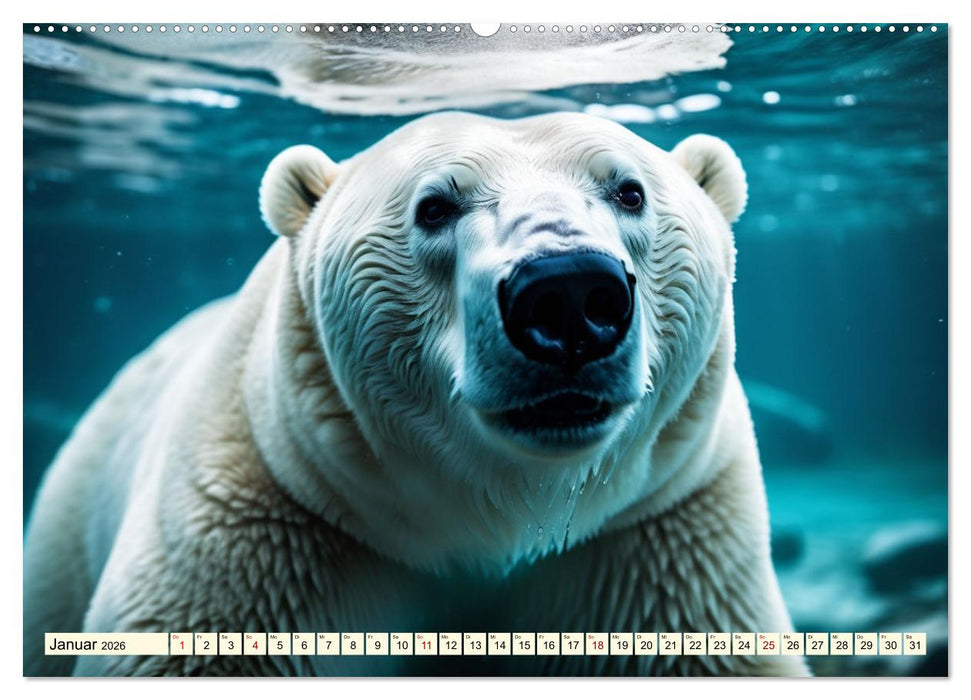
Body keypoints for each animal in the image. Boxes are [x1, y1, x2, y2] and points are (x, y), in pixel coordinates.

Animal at [23, 111, 808, 677]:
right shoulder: (269, 519)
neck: (489, 526)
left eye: (630, 191)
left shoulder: (657, 533)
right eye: (433, 205)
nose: (567, 293)